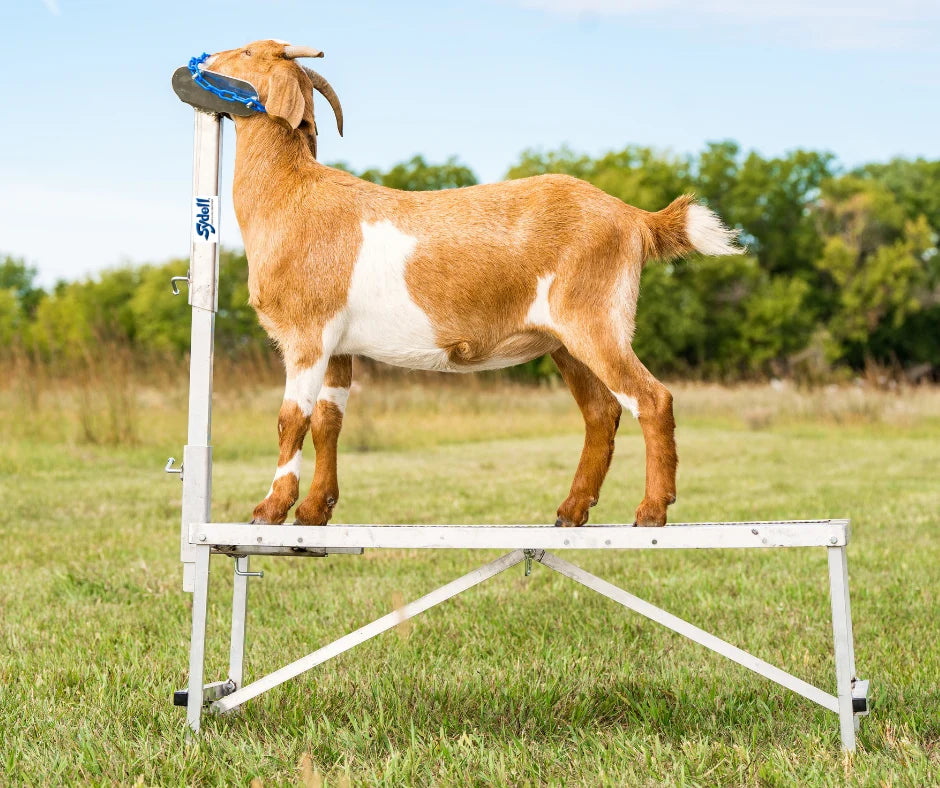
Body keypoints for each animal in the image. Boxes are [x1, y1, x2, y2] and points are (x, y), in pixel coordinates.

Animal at [201, 39, 742, 528]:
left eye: (248, 52)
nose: (203, 60)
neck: (291, 195)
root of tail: (634, 218)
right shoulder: (339, 345)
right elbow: (328, 422)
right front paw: (314, 512)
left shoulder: (307, 333)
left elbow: (291, 419)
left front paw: (270, 509)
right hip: (566, 341)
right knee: (601, 410)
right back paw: (571, 511)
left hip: (596, 319)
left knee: (650, 398)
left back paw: (651, 511)